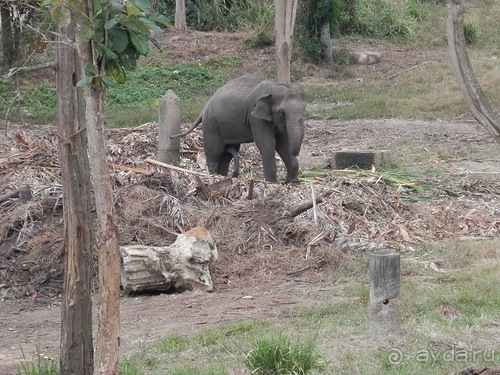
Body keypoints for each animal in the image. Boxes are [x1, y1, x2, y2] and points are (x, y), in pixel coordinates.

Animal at [170, 75, 306, 184]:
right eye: (282, 113)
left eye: (304, 109)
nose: (289, 181)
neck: (275, 87)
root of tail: (205, 107)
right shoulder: (255, 117)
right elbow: (267, 143)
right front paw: (272, 183)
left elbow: (282, 144)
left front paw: (291, 183)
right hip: (211, 124)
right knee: (215, 150)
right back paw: (213, 175)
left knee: (229, 152)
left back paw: (223, 175)